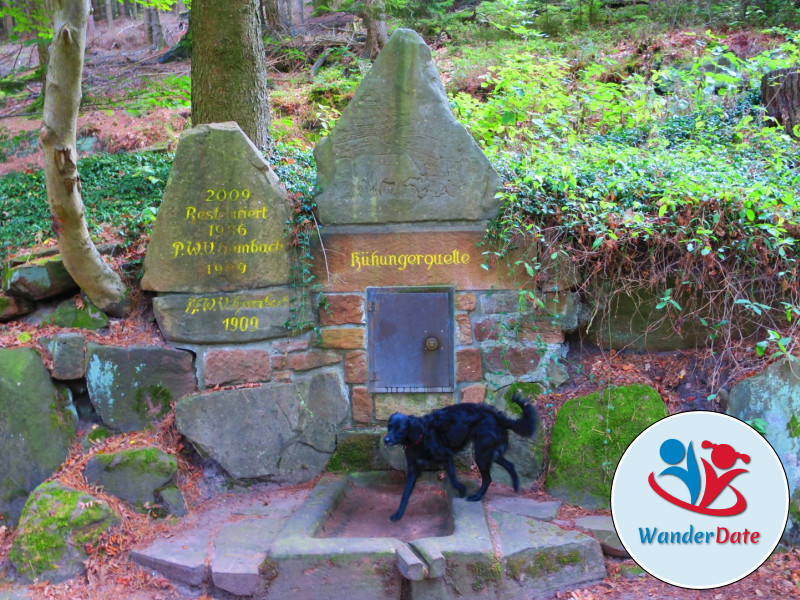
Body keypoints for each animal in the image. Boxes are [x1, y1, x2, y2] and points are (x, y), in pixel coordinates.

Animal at [382, 392, 536, 524]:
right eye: (389, 427)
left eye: (400, 429)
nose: (385, 440)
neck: (421, 436)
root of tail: (498, 416)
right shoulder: (413, 469)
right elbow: (405, 494)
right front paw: (398, 514)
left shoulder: (446, 458)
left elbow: (453, 479)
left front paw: (462, 490)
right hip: (491, 453)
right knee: (510, 465)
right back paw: (515, 485)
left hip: (481, 454)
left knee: (488, 478)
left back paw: (477, 496)